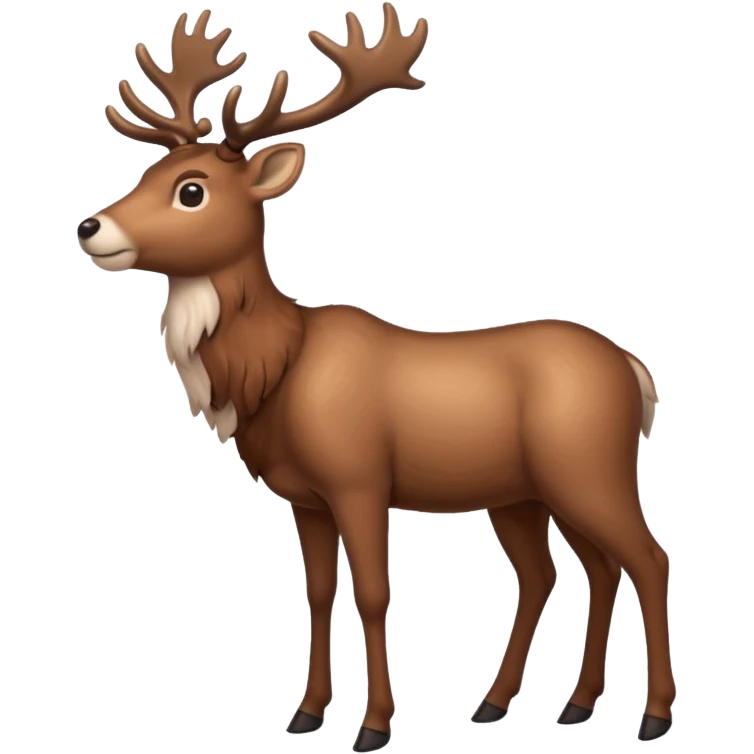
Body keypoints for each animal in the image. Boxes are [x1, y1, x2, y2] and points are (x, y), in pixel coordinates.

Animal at [75, 5, 675, 749]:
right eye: (149, 169)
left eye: (191, 190)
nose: (91, 227)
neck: (274, 373)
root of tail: (635, 369)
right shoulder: (304, 497)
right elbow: (316, 591)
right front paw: (306, 712)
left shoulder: (358, 477)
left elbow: (370, 591)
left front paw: (374, 725)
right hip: (523, 492)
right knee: (569, 571)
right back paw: (538, 704)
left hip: (590, 464)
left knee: (647, 559)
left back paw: (651, 716)